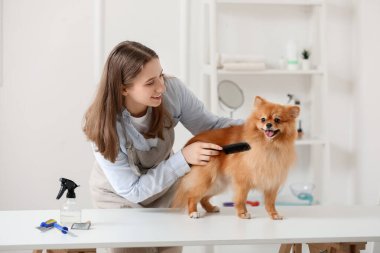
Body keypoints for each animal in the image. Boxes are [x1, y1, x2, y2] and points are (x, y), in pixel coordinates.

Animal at [172, 96, 300, 218]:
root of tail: (192, 142)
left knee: (203, 198)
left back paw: (211, 208)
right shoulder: (242, 180)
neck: (268, 146)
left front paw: (274, 214)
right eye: (263, 119)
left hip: (218, 184)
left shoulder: (272, 181)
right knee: (192, 197)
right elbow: (241, 199)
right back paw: (193, 212)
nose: (268, 124)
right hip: (206, 179)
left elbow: (270, 202)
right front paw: (242, 213)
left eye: (277, 120)